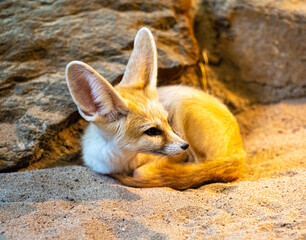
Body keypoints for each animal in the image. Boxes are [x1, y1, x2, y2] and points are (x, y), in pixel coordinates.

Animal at [65, 27, 245, 190]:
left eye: (167, 121)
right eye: (152, 131)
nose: (184, 145)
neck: (124, 161)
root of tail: (240, 152)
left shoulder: (179, 155)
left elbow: (144, 171)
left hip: (183, 107)